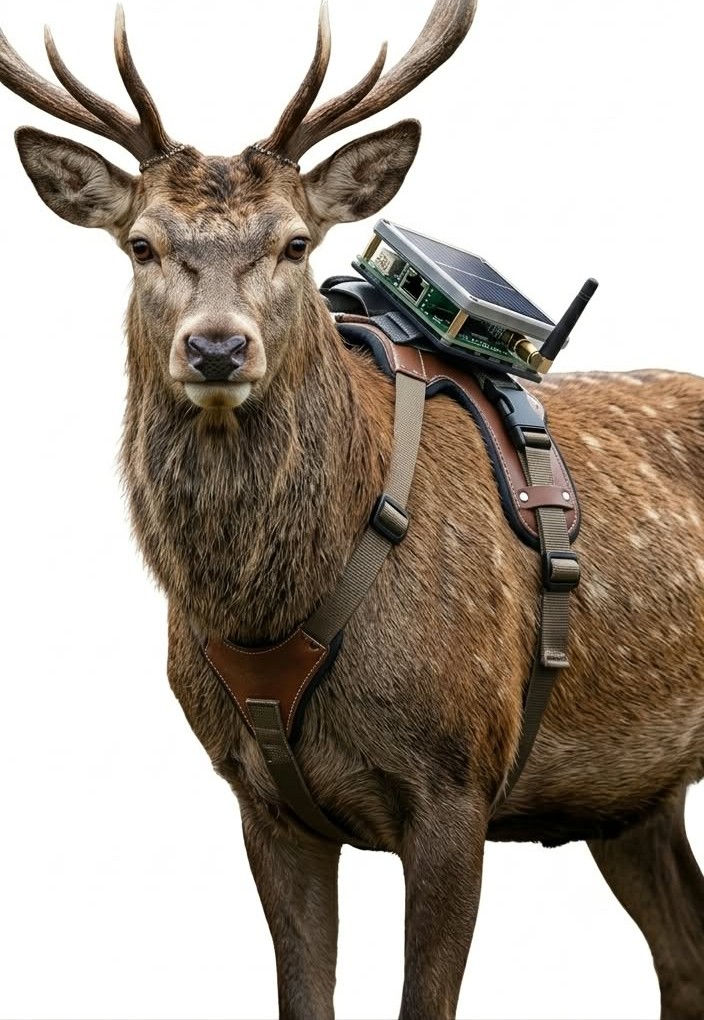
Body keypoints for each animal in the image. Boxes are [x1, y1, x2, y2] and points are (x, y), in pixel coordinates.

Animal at [1, 1, 703, 1018]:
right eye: (142, 244)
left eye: (296, 242)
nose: (217, 348)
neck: (268, 611)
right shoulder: (261, 799)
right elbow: (304, 995)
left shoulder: (457, 780)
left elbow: (425, 1001)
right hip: (632, 796)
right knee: (683, 952)